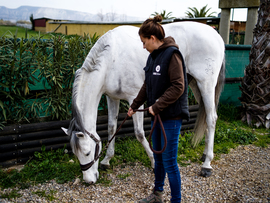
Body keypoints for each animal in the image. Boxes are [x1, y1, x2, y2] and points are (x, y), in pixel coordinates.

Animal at [62, 21, 225, 183]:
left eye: (87, 152)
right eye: (76, 154)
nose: (89, 181)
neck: (112, 58)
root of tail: (216, 36)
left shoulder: (135, 98)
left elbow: (139, 133)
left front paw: (153, 161)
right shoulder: (112, 98)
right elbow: (111, 128)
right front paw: (106, 160)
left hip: (206, 85)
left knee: (211, 119)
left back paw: (207, 164)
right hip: (195, 85)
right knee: (205, 116)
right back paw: (205, 155)